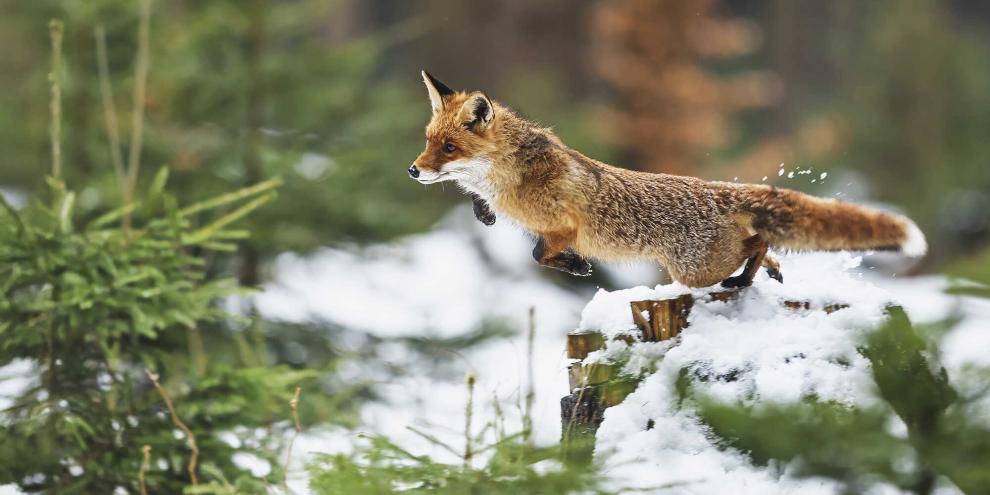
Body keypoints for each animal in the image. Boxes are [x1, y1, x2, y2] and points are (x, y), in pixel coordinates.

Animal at [409, 71, 927, 289]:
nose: (414, 169)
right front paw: (484, 213)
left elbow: (540, 255)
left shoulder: (562, 227)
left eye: (449, 148)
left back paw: (745, 279)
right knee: (765, 246)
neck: (509, 178)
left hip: (694, 271)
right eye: (428, 140)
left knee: (757, 244)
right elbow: (505, 228)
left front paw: (576, 268)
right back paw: (766, 273)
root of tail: (718, 190)